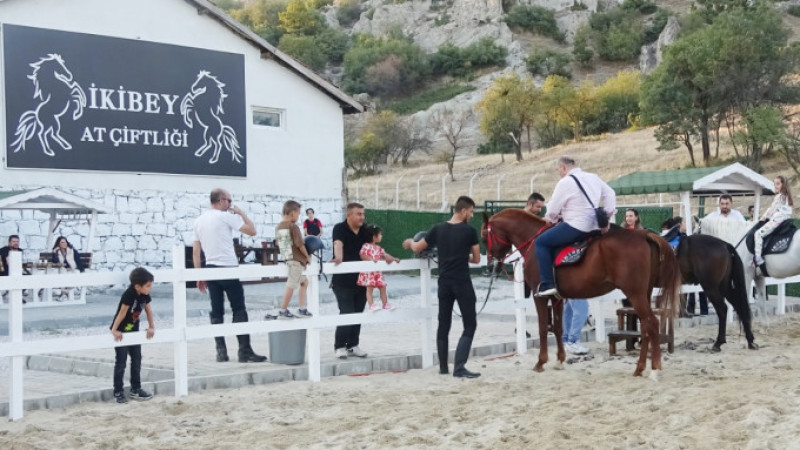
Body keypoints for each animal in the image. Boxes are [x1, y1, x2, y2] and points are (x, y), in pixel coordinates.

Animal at [482, 209, 680, 378]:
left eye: (484, 237)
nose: (491, 267)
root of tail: (644, 234)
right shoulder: (557, 299)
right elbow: (558, 327)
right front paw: (560, 360)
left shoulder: (540, 296)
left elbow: (543, 329)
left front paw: (541, 362)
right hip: (643, 293)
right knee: (645, 327)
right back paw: (640, 368)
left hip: (635, 293)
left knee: (651, 324)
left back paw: (654, 369)